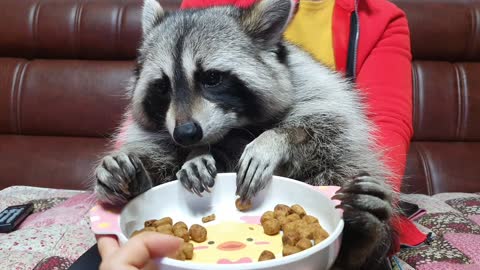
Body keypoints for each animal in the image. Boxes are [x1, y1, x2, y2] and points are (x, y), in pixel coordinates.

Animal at [94, 0, 398, 268]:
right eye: (163, 86)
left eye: (212, 78)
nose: (186, 134)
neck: (234, 128)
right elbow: (161, 154)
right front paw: (191, 156)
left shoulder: (318, 90)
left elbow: (326, 127)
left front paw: (273, 140)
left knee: (340, 164)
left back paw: (364, 233)